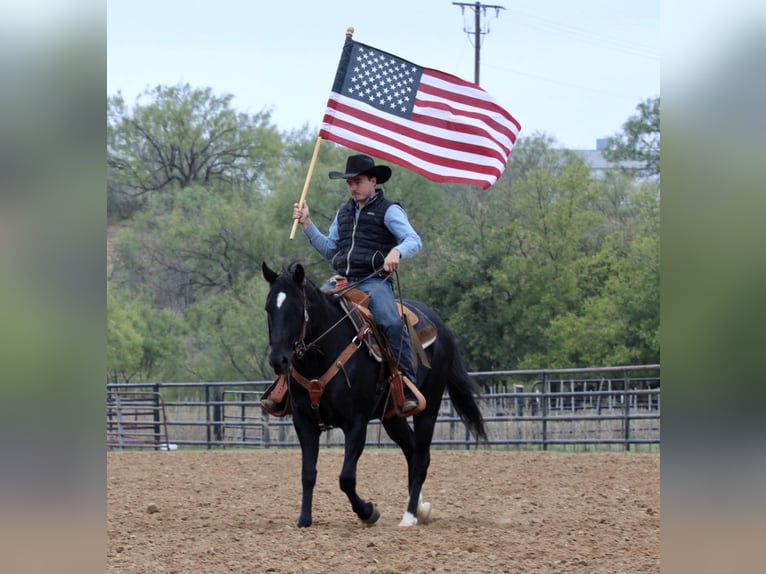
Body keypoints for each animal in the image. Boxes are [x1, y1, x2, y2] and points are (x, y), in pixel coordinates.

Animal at [258, 264, 486, 528]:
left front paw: (368, 512)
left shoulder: (356, 423)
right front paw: (304, 519)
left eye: (296, 308)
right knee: (411, 451)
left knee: (421, 459)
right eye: (268, 308)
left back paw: (410, 516)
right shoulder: (303, 422)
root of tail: (441, 326)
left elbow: (346, 478)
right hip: (392, 416)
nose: (279, 360)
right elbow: (308, 473)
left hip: (429, 407)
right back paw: (420, 508)